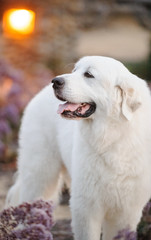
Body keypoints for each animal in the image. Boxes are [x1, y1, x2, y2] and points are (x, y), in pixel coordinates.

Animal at [6, 56, 151, 240]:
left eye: (89, 75)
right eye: (74, 70)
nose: (55, 81)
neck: (112, 137)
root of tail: (41, 92)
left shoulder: (126, 212)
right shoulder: (86, 207)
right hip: (40, 176)